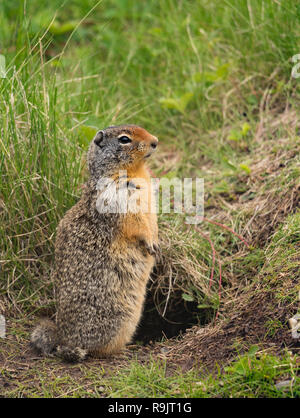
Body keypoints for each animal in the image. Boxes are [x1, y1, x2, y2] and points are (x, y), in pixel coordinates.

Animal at [30, 124, 159, 362]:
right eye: (124, 139)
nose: (155, 141)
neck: (135, 171)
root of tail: (65, 339)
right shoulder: (118, 198)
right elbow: (136, 223)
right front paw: (150, 243)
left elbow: (152, 221)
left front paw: (157, 242)